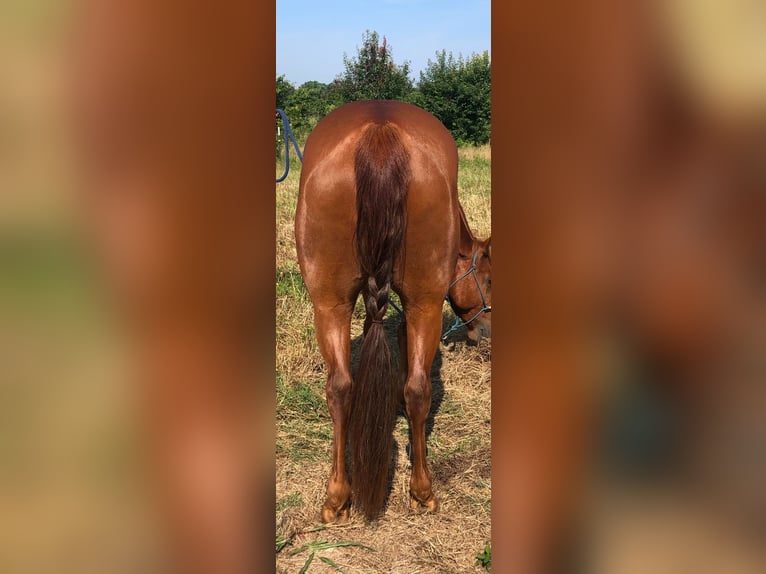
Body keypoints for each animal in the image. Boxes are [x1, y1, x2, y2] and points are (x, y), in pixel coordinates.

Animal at [294, 100, 492, 520]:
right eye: (488, 276)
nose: (485, 331)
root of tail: (380, 133)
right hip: (419, 303)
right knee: (413, 388)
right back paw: (418, 491)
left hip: (332, 304)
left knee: (343, 387)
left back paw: (342, 497)